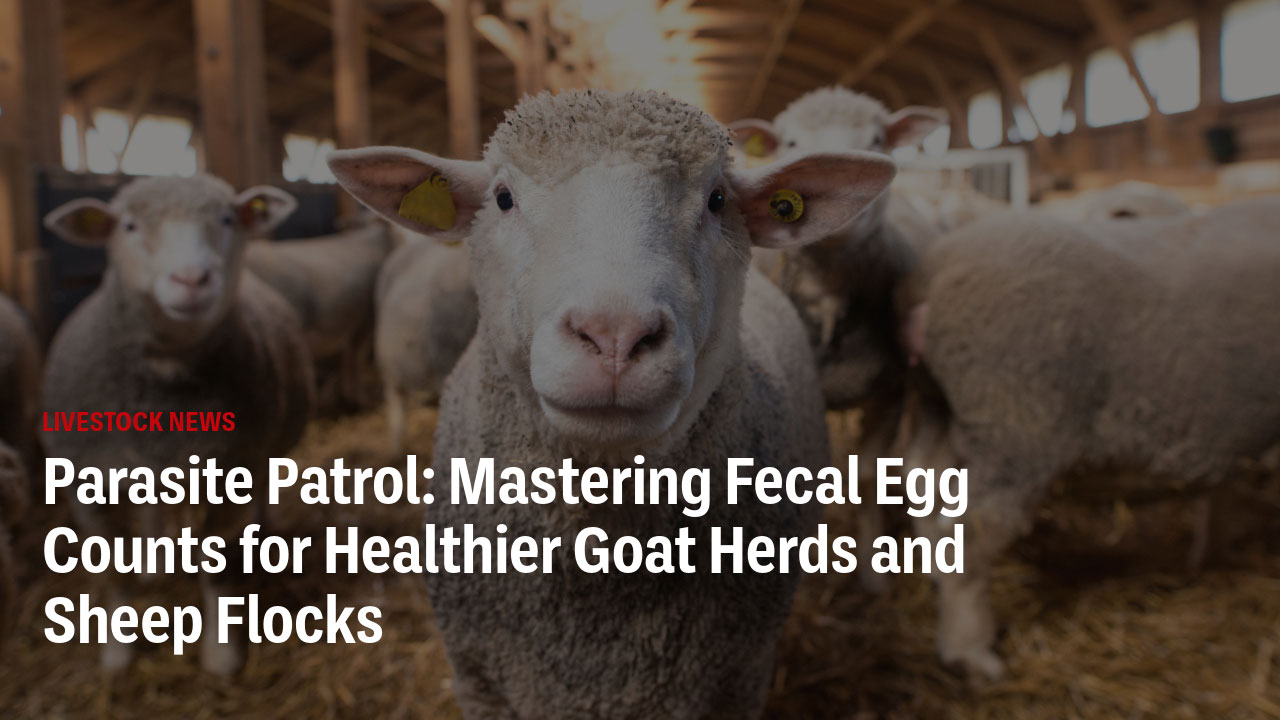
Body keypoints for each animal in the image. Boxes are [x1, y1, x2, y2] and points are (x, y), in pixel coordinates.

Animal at [43, 174, 314, 671]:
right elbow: (112, 570)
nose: (191, 279)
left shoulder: (232, 468)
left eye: (227, 219)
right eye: (129, 225)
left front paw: (222, 651)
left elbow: (217, 565)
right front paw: (118, 651)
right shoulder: (85, 481)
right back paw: (155, 563)